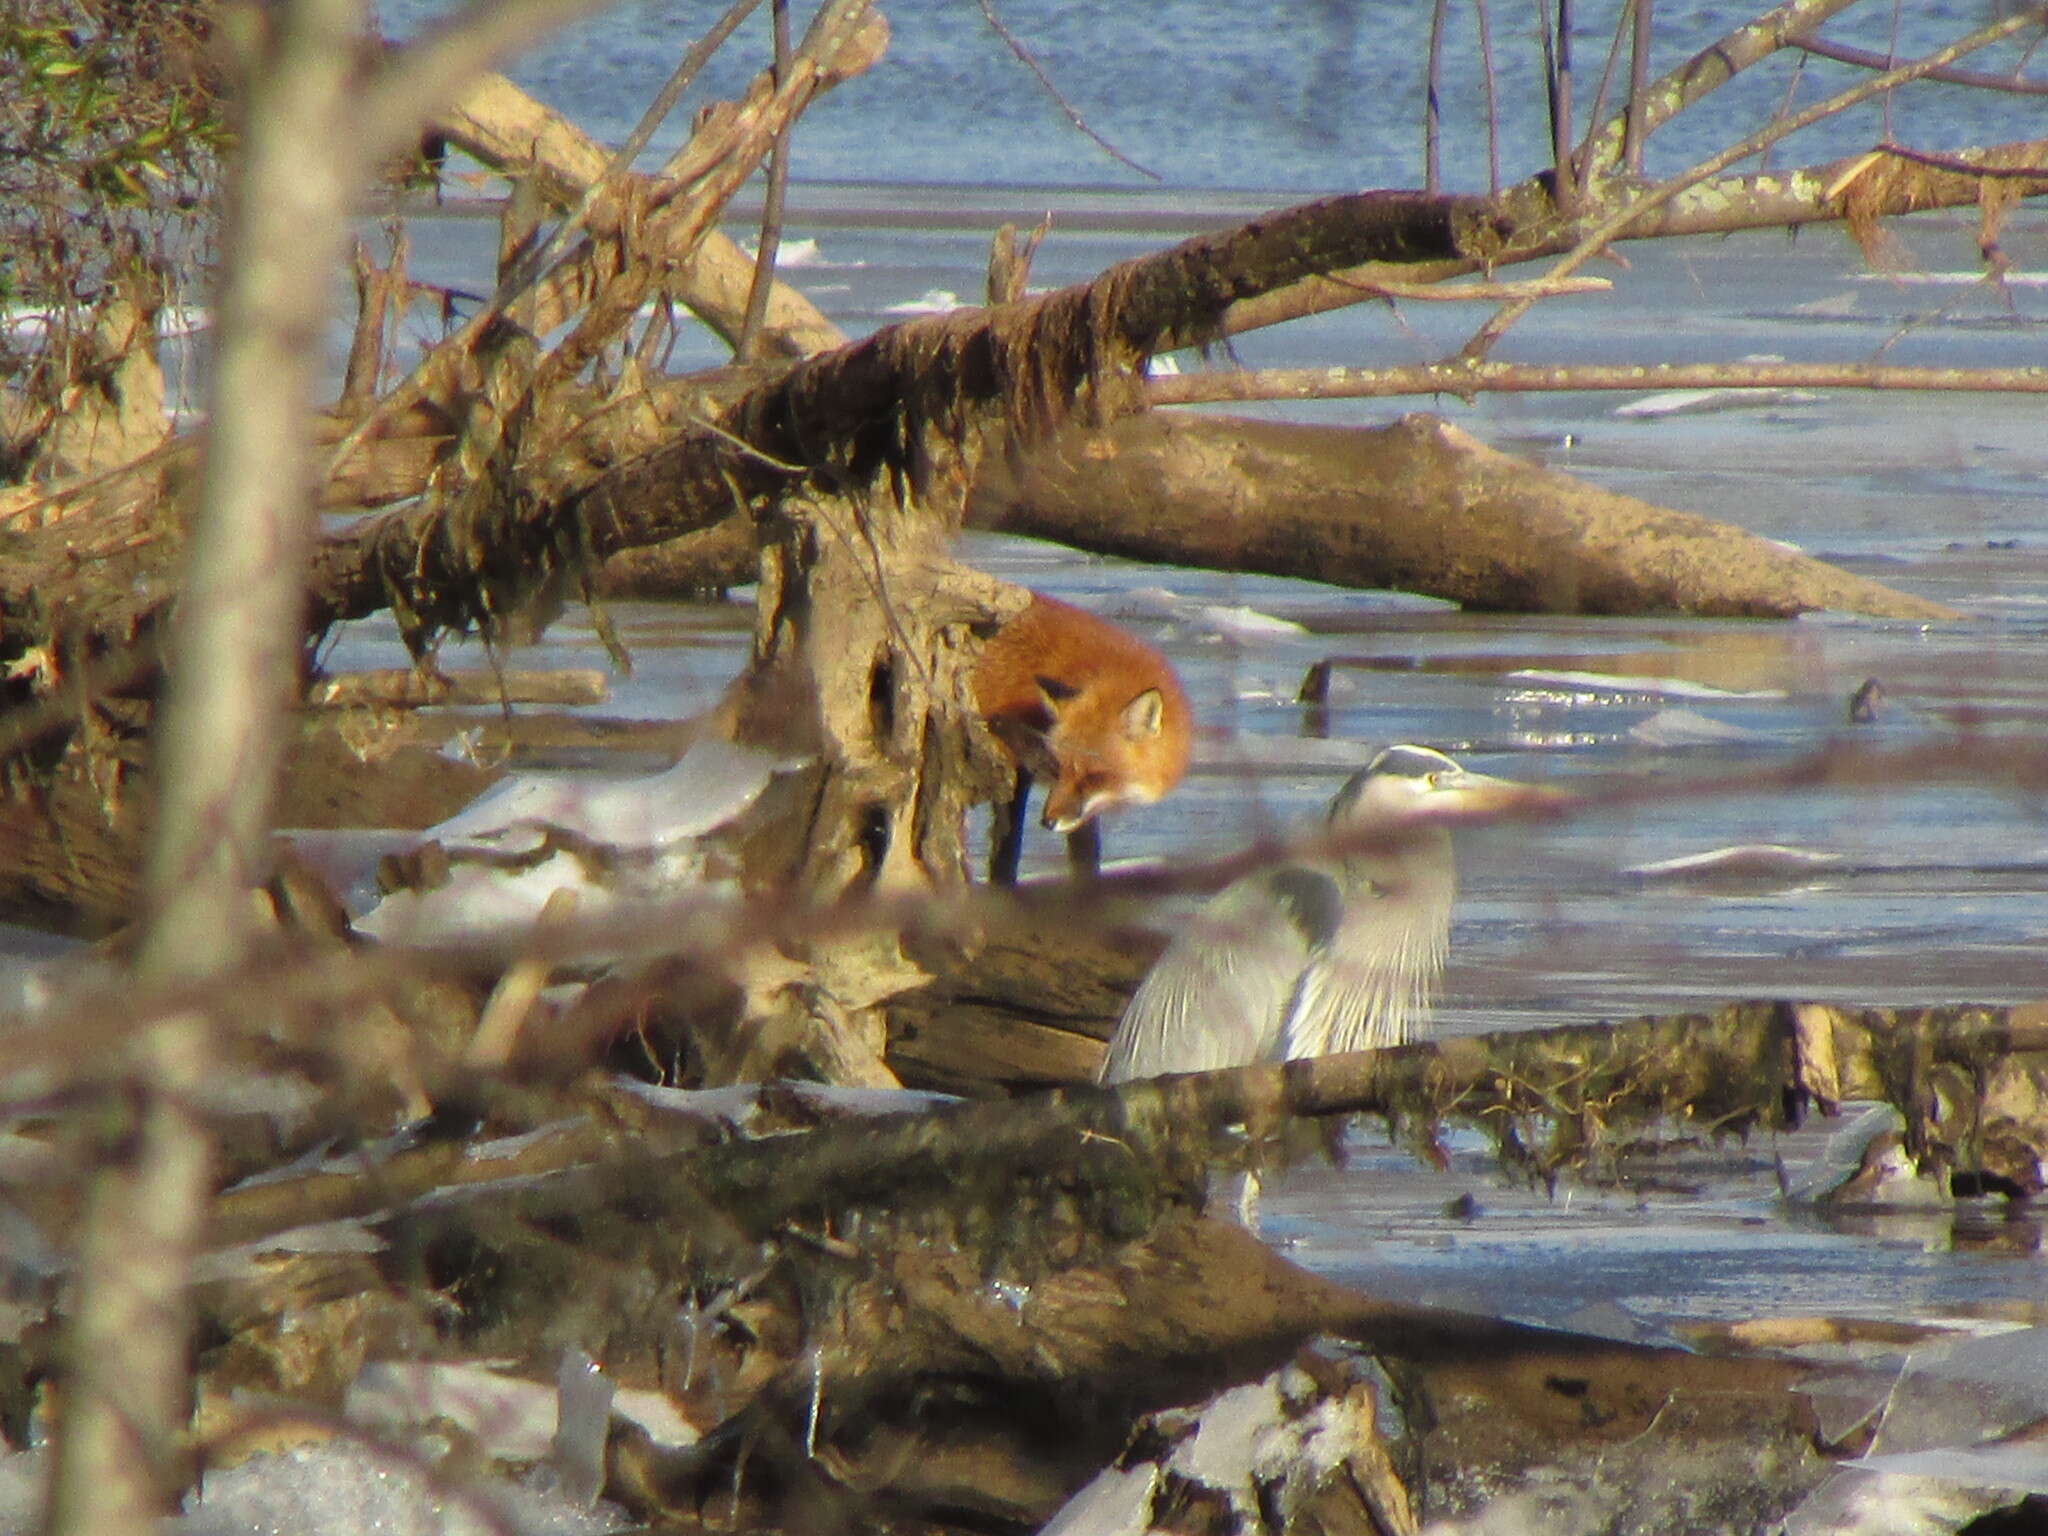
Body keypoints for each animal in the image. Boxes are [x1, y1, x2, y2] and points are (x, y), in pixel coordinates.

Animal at [970, 589, 1196, 876]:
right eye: (1056, 767)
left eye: (1093, 776)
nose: (1048, 822)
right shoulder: (1011, 765)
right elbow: (1006, 850)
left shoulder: (1086, 805)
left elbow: (1086, 858)